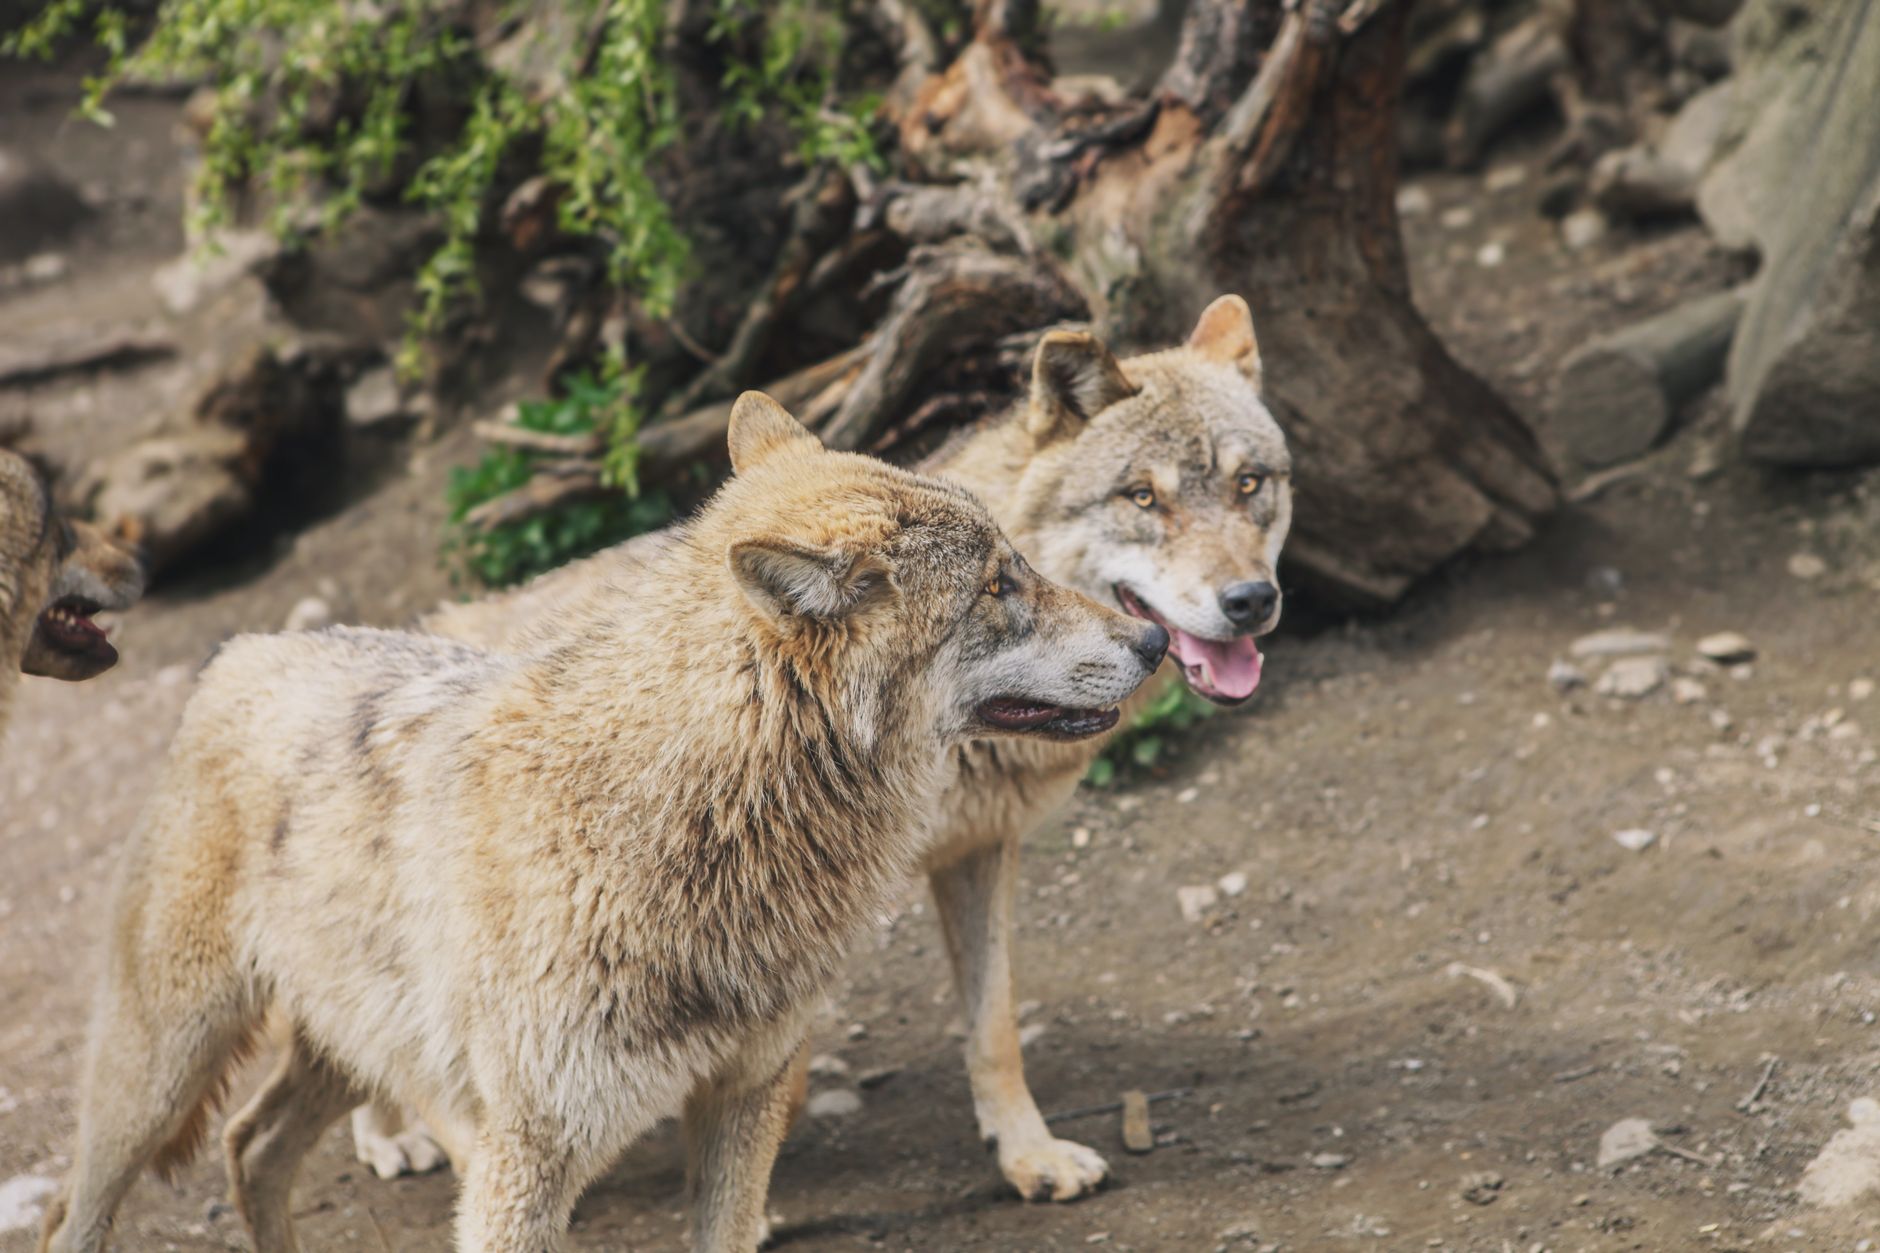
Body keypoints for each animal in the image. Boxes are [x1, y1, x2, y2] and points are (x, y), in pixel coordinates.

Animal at [39, 393, 1167, 1253]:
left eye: (1021, 560)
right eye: (998, 585)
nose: (1153, 639)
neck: (685, 821)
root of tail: (240, 651)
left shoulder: (743, 1100)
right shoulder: (525, 1162)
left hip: (344, 1049)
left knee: (252, 1145)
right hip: (156, 1074)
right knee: (84, 1209)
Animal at [358, 295, 1291, 1203]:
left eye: (1250, 484)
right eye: (1143, 498)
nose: (1246, 602)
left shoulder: (979, 853)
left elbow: (993, 1026)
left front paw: (1028, 1153)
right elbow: (782, 1077)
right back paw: (398, 1137)